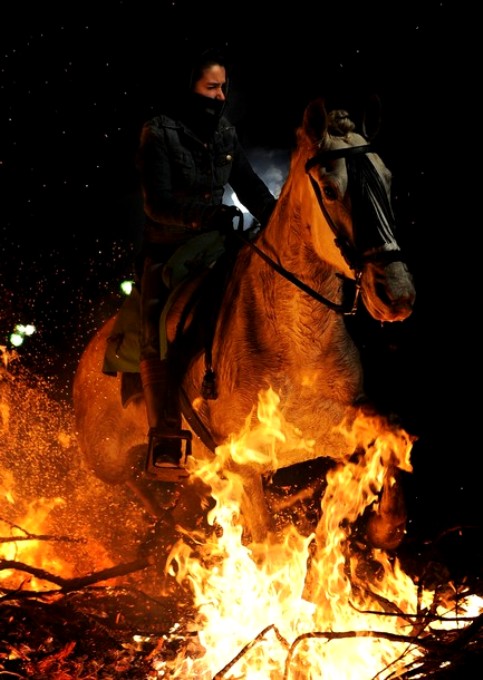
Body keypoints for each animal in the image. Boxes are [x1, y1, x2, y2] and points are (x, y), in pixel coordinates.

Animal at [72, 98, 416, 556]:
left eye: (388, 180)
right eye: (329, 190)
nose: (396, 295)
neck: (296, 337)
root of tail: (90, 356)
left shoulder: (327, 428)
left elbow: (390, 428)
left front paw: (386, 526)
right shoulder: (242, 462)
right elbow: (266, 538)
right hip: (106, 460)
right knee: (129, 487)